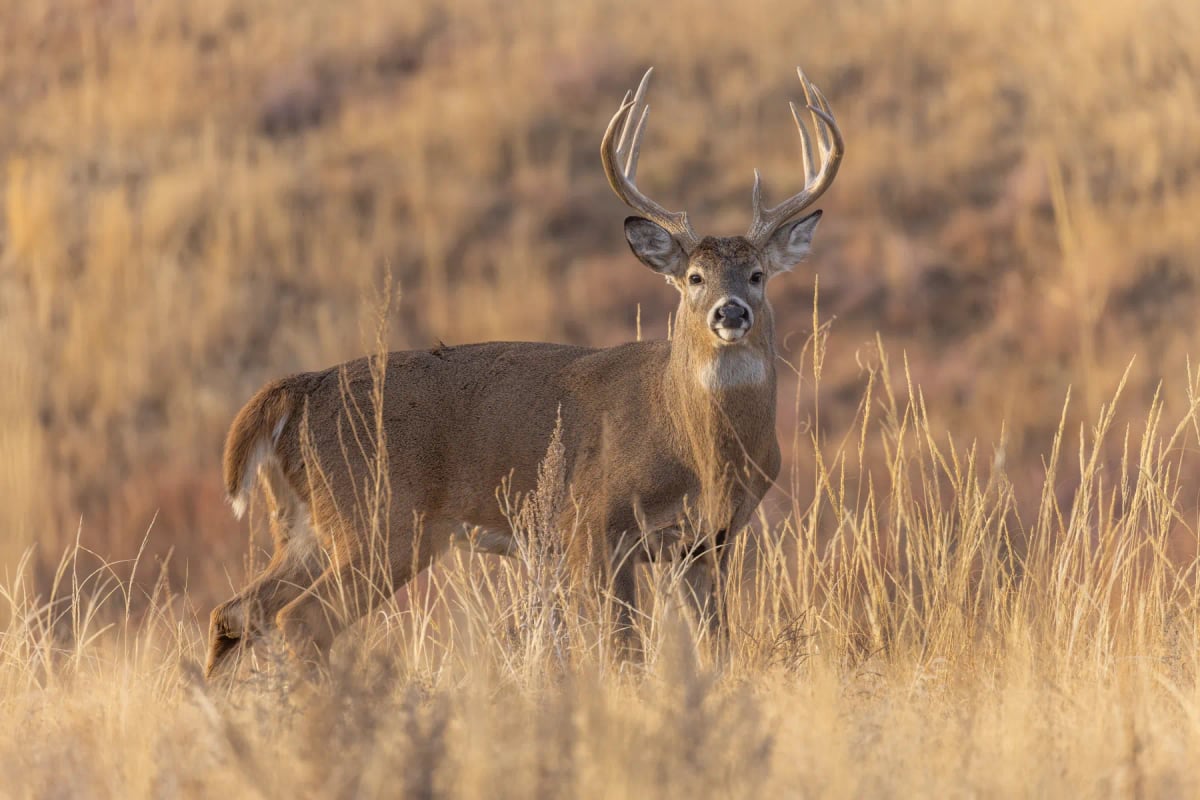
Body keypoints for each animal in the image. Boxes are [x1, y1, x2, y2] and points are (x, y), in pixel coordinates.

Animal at [205, 66, 843, 679]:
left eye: (757, 275)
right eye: (693, 278)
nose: (730, 312)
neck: (694, 445)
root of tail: (298, 391)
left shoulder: (708, 545)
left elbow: (717, 648)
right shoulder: (594, 526)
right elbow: (625, 653)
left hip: (306, 525)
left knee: (236, 612)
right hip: (381, 518)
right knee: (298, 619)